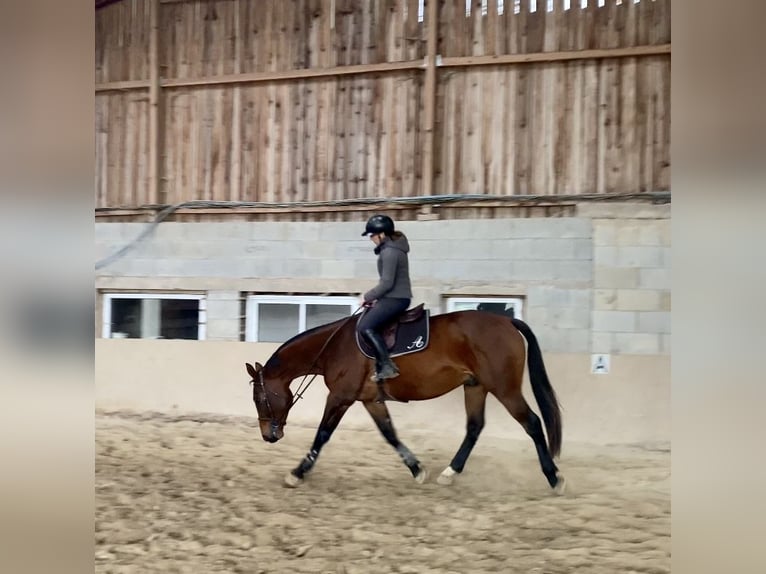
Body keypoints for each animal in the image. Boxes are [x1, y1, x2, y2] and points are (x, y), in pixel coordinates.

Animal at [245, 309, 565, 493]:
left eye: (260, 397)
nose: (268, 435)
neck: (334, 347)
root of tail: (506, 320)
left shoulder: (340, 397)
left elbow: (322, 435)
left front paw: (297, 474)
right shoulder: (370, 400)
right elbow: (390, 434)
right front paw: (417, 469)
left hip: (504, 388)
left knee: (532, 423)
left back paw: (554, 478)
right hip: (476, 387)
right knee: (474, 427)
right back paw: (450, 473)